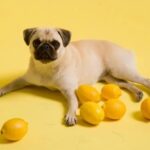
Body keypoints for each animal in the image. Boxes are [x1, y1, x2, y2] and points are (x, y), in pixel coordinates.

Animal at [0, 27, 150, 125]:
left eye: (56, 44)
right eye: (36, 42)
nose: (45, 46)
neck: (47, 67)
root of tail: (124, 49)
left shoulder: (69, 91)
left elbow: (73, 103)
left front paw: (71, 115)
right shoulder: (24, 79)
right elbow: (11, 83)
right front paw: (2, 90)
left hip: (120, 70)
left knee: (143, 79)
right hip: (111, 78)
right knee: (126, 83)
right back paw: (137, 93)